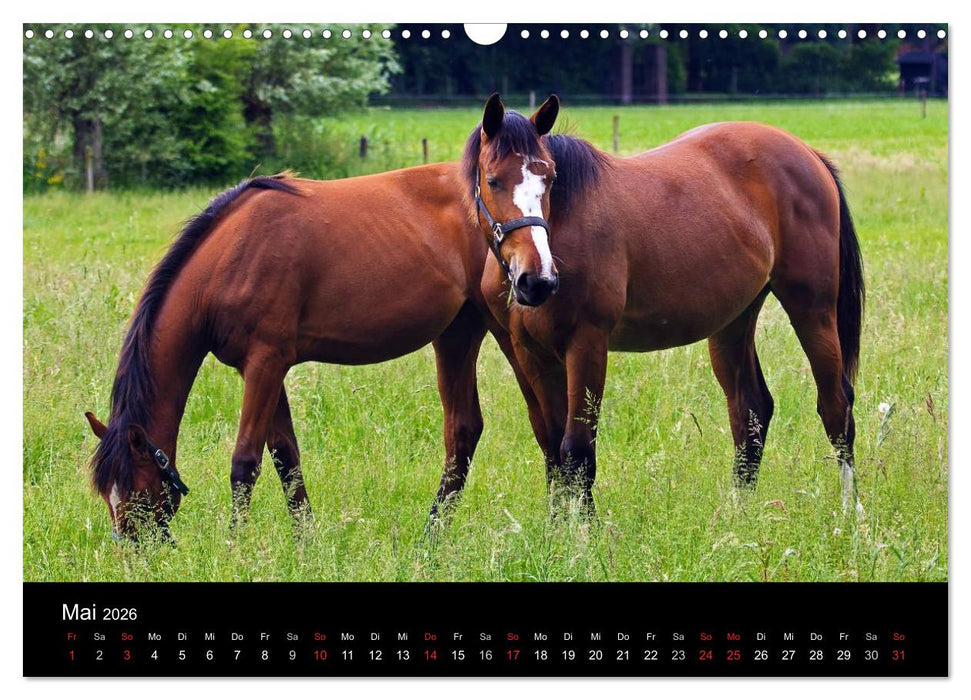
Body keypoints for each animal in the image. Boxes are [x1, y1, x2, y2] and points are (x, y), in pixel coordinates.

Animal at [83, 156, 558, 541]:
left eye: (136, 490)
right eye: (107, 496)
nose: (135, 553)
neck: (229, 257)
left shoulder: (265, 364)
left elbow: (245, 463)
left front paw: (235, 546)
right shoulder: (264, 369)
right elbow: (285, 458)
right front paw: (305, 541)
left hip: (505, 334)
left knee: (543, 419)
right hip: (457, 334)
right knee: (464, 431)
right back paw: (432, 536)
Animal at [466, 94, 864, 517]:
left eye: (551, 179)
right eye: (493, 180)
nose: (537, 280)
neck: (564, 225)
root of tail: (807, 153)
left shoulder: (587, 344)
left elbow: (577, 450)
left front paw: (583, 533)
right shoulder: (531, 353)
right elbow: (552, 448)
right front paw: (557, 528)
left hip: (812, 308)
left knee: (836, 405)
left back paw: (850, 512)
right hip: (734, 321)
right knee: (751, 409)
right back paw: (738, 515)